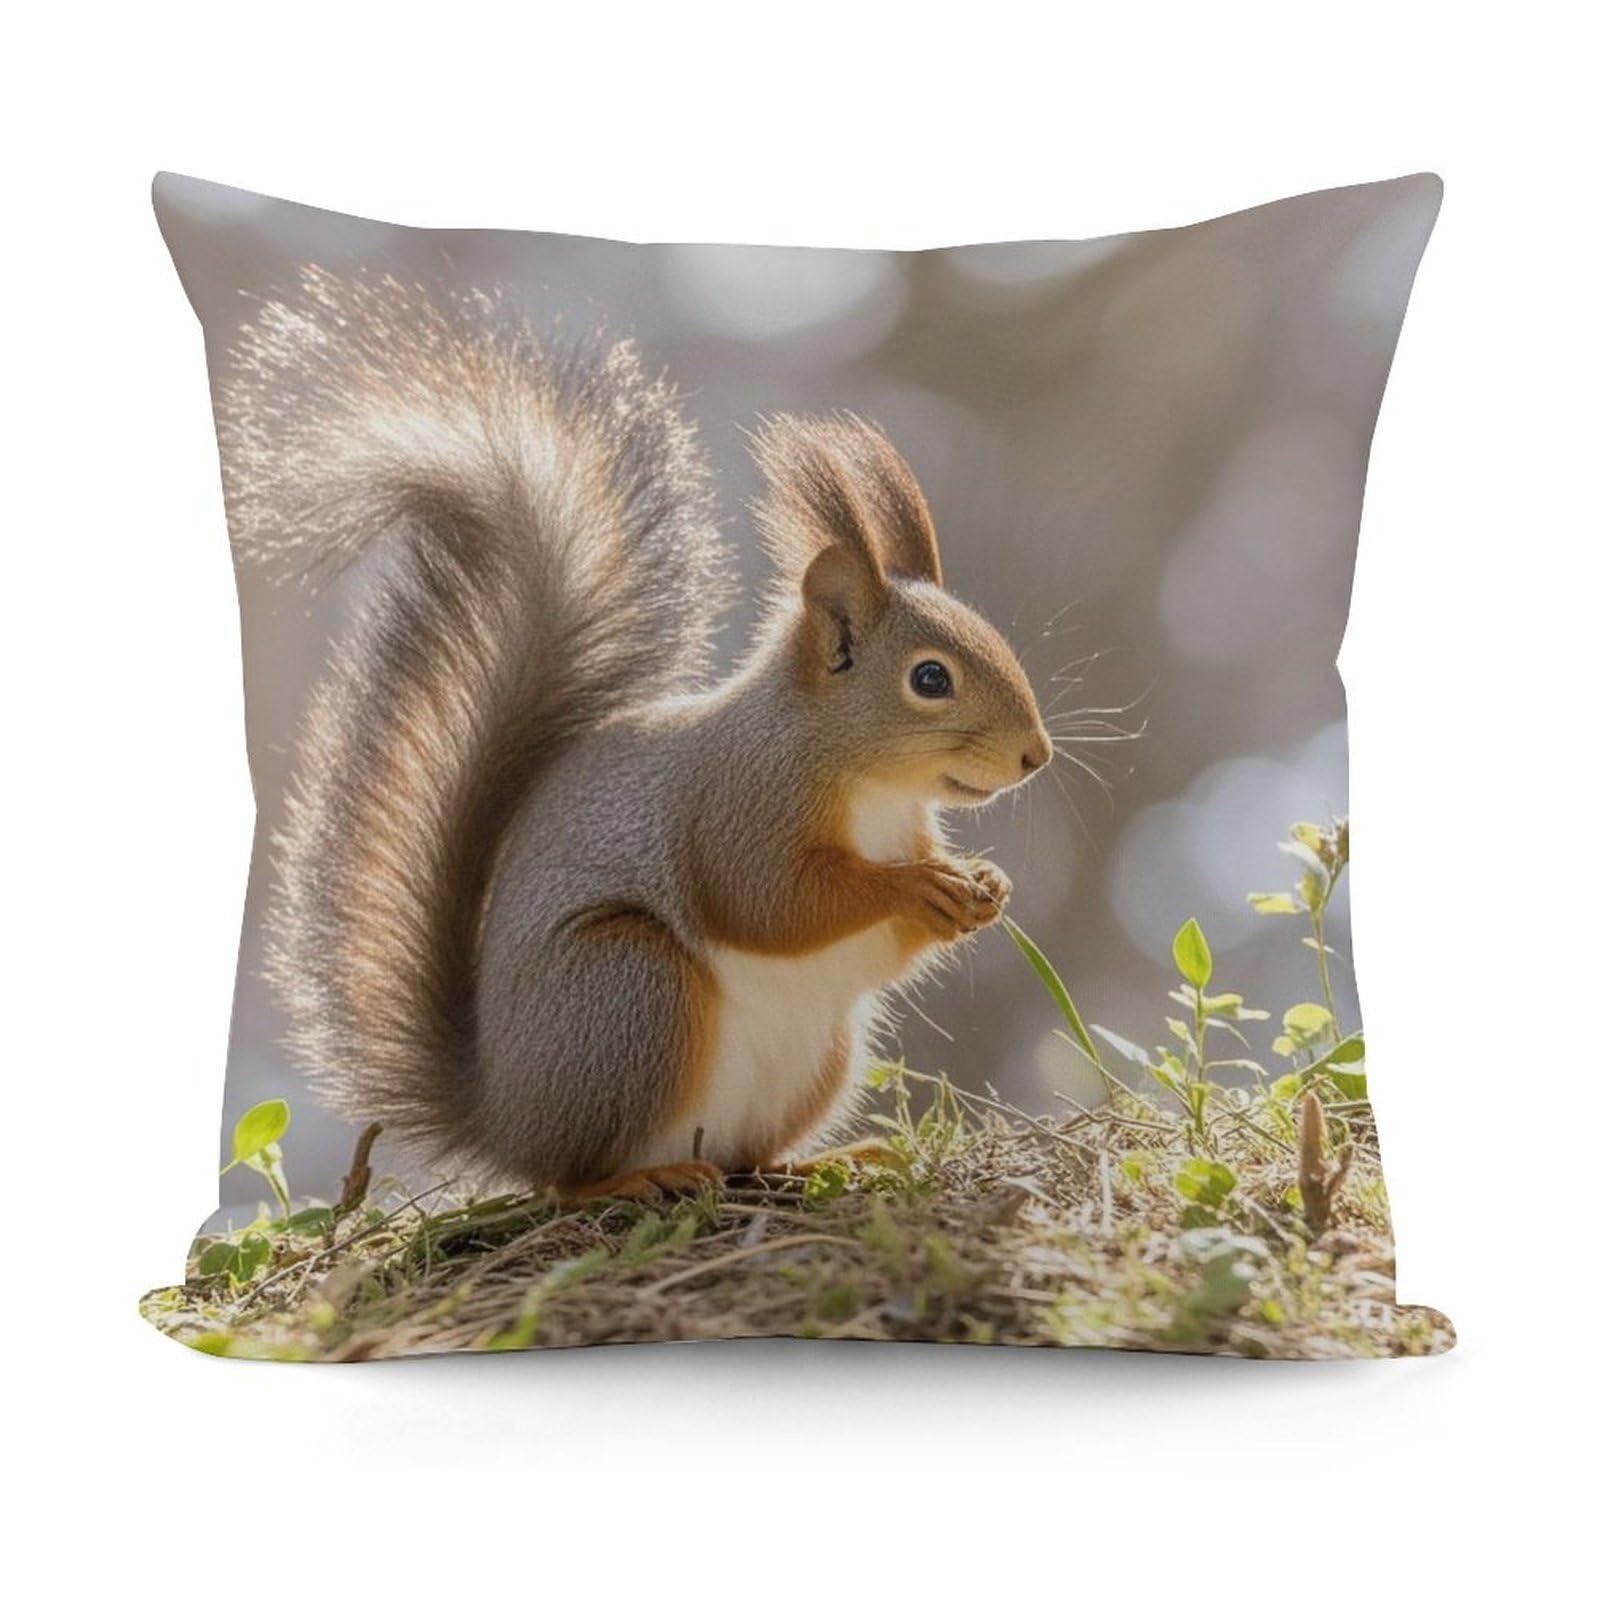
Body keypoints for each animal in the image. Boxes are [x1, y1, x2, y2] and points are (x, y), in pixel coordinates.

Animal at [221, 269, 1052, 1200]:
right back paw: (634, 1181)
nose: (1037, 755)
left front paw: (985, 884)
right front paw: (916, 887)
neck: (864, 782)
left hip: (818, 1054)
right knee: (568, 1176)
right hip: (630, 988)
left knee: (748, 1155)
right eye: (930, 679)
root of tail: (505, 1118)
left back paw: (823, 1158)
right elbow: (770, 900)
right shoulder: (737, 803)